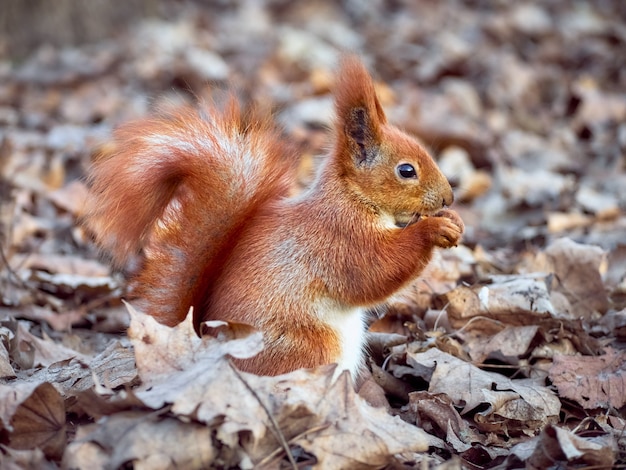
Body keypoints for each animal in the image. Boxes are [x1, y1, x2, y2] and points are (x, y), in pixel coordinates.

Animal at [81, 56, 464, 378]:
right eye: (406, 170)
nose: (449, 196)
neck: (351, 197)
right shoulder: (337, 236)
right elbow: (375, 270)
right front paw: (435, 228)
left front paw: (454, 221)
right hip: (309, 347)